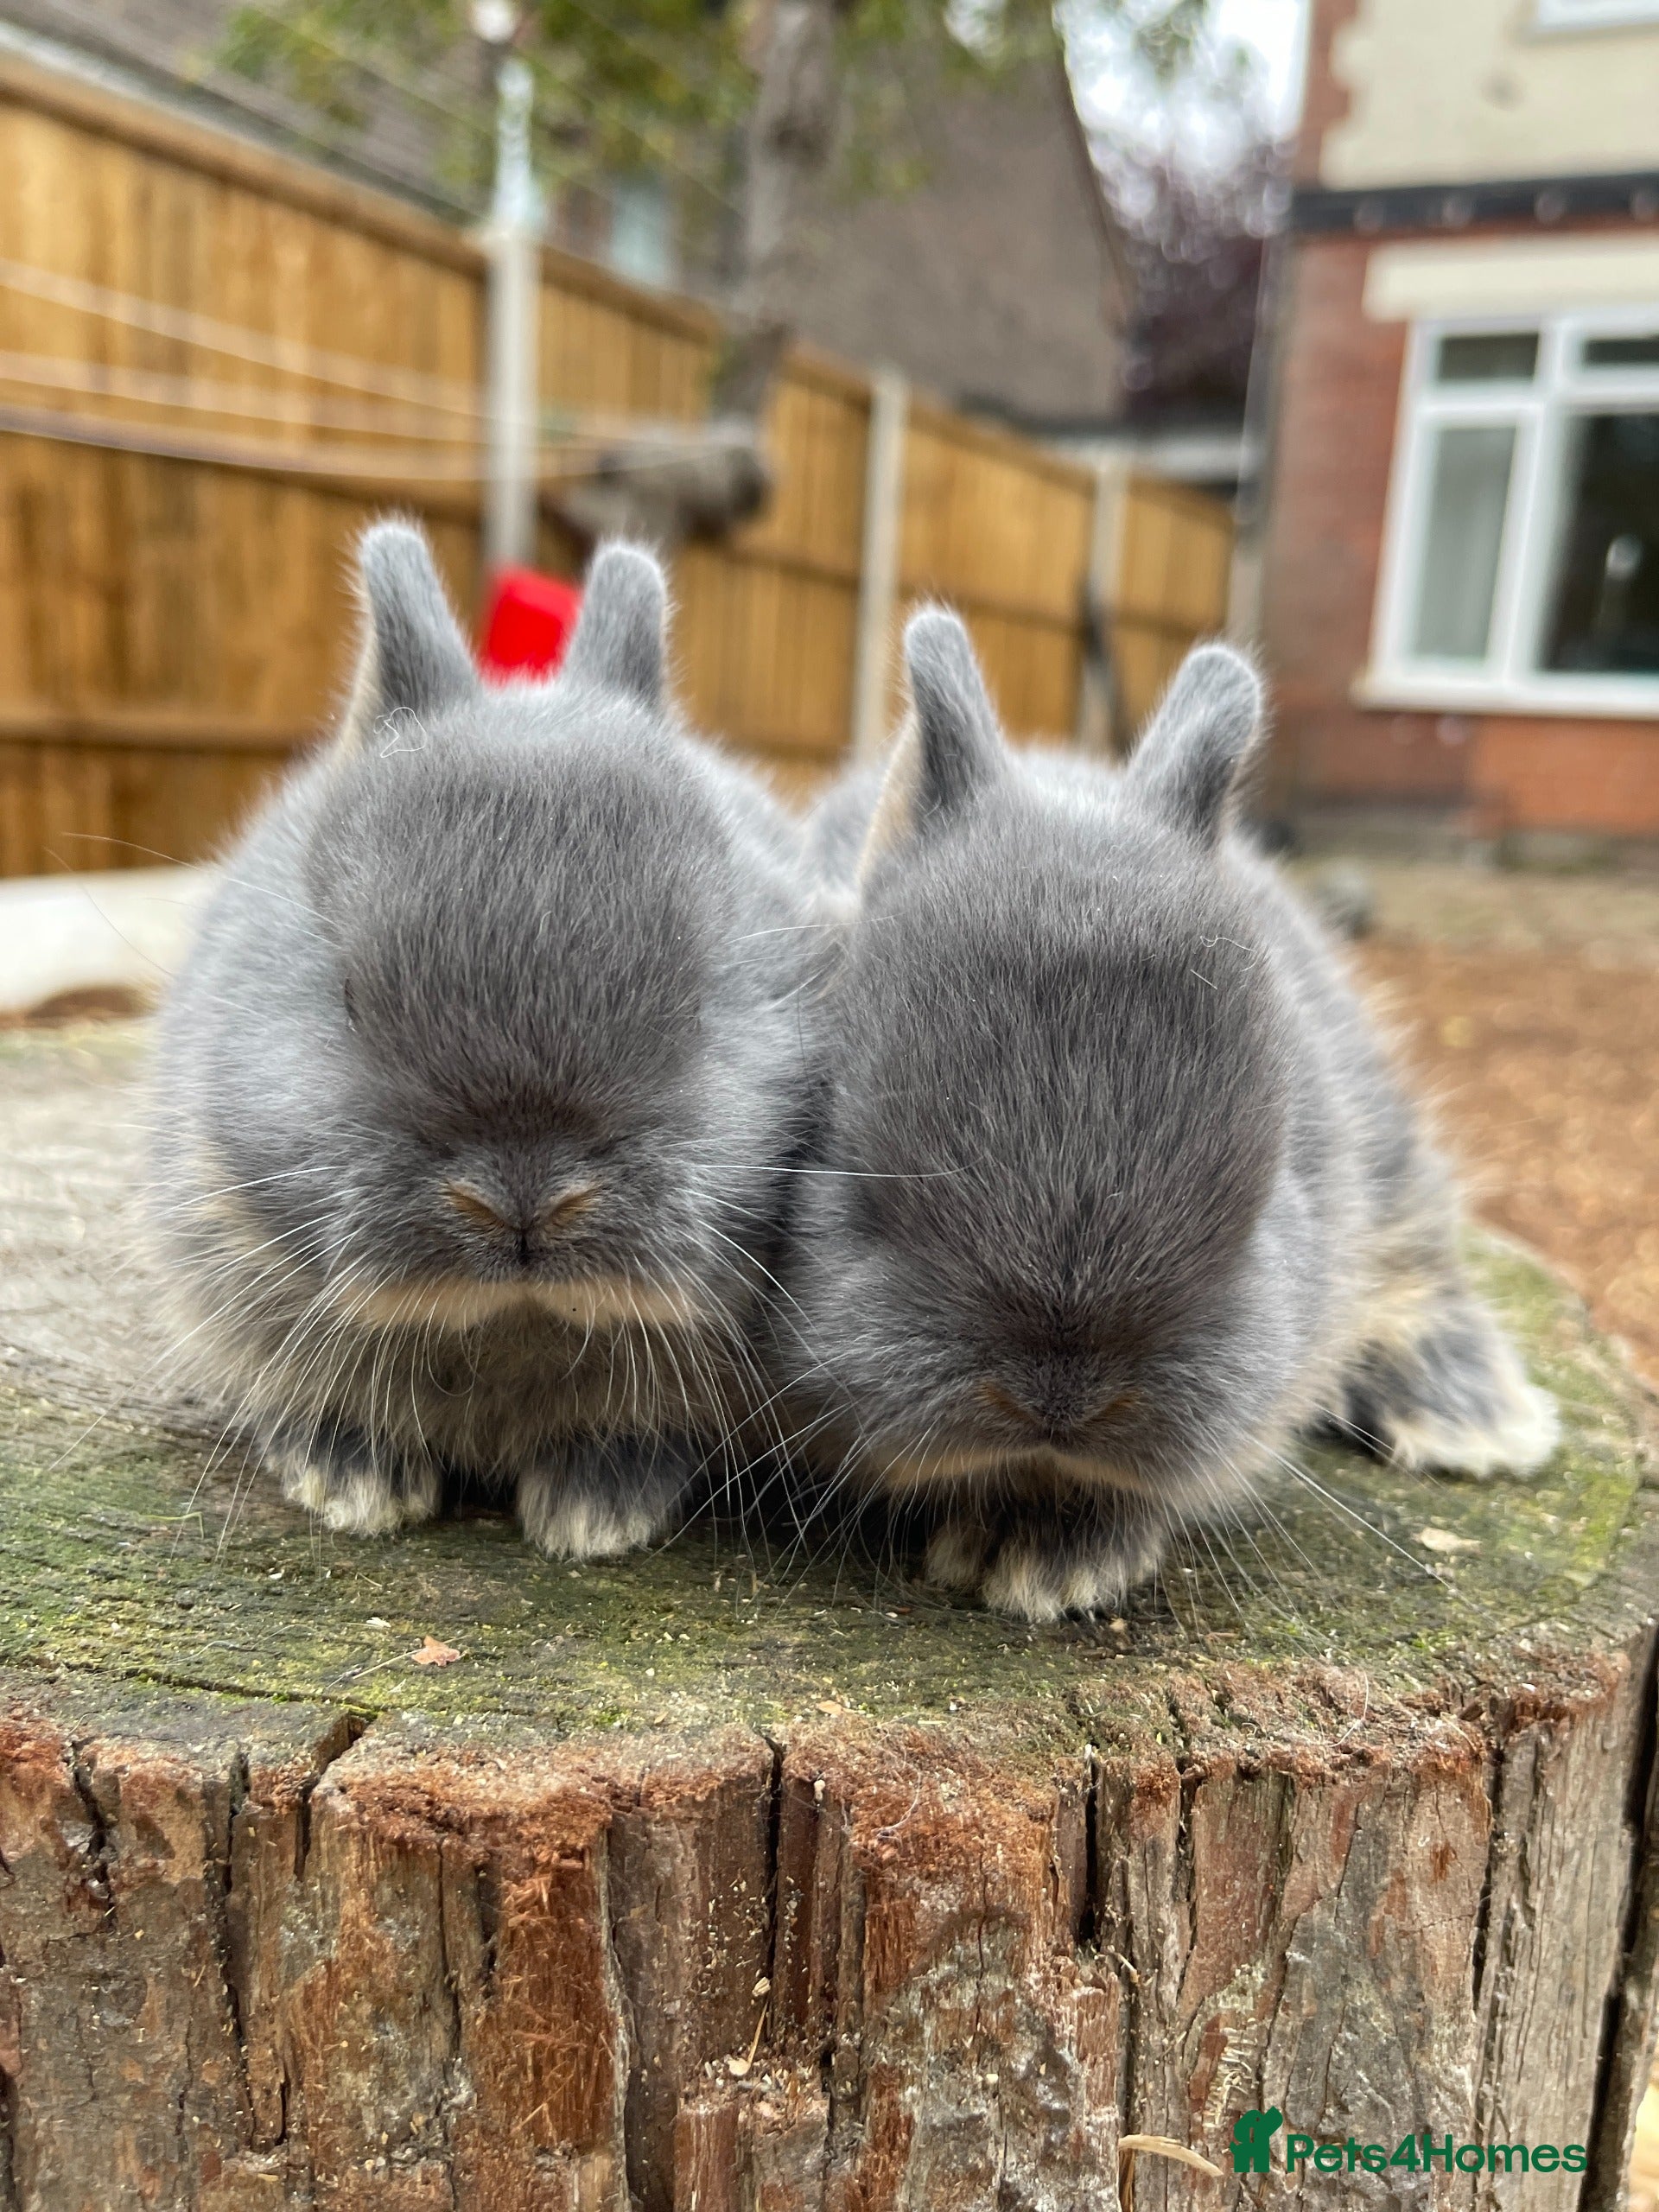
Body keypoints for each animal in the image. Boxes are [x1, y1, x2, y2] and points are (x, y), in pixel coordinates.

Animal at [149, 522, 815, 1559]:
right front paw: (355, 1486)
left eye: (706, 999)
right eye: (347, 997)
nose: (523, 1203)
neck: (508, 1325)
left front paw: (594, 1514)